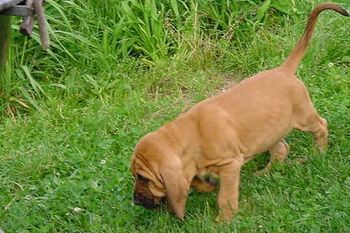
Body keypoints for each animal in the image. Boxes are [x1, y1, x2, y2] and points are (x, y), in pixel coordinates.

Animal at [131, 4, 348, 222]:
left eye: (143, 177)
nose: (136, 201)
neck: (191, 136)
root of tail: (284, 70)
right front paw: (207, 187)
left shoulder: (230, 165)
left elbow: (225, 198)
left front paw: (223, 221)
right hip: (269, 130)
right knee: (281, 149)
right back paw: (265, 172)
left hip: (304, 116)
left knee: (321, 126)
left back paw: (319, 153)